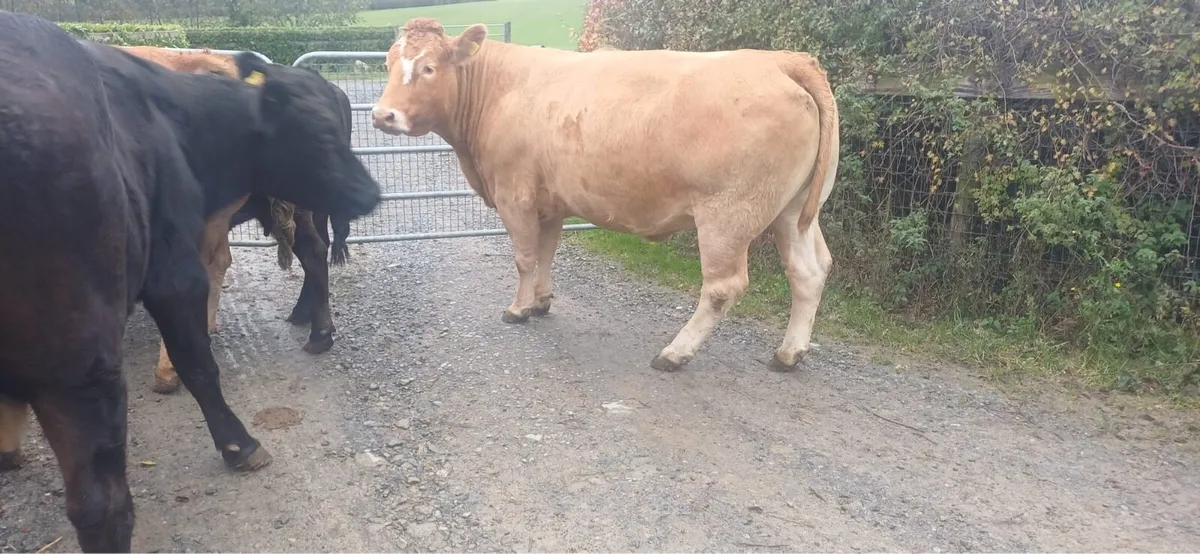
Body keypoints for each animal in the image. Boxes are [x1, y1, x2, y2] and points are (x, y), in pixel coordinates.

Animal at [370, 18, 839, 373]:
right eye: (389, 63)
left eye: (429, 68)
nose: (381, 115)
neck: (498, 89)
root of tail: (779, 59)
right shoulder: (550, 201)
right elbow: (546, 253)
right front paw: (541, 301)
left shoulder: (514, 193)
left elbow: (524, 256)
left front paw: (518, 309)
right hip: (794, 211)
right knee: (809, 271)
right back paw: (789, 353)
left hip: (728, 215)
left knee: (724, 287)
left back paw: (675, 353)